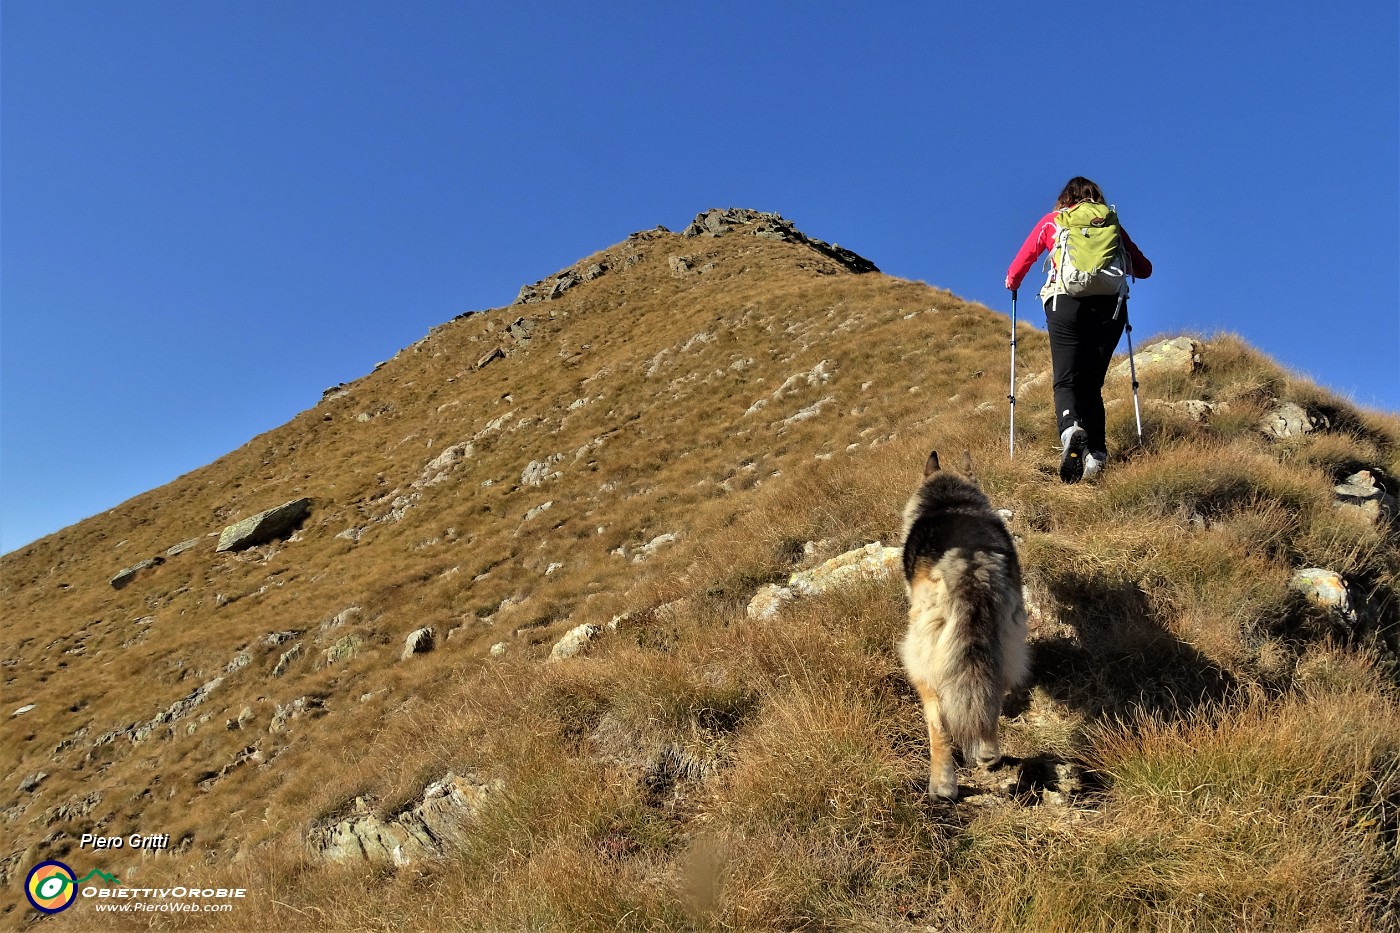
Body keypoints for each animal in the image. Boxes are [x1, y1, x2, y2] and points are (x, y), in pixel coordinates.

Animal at [896, 451, 1030, 801]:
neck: (950, 499)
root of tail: (969, 565)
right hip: (1008, 639)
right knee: (991, 694)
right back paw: (988, 754)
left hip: (922, 656)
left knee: (938, 725)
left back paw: (942, 785)